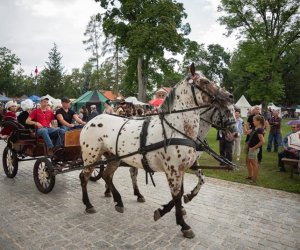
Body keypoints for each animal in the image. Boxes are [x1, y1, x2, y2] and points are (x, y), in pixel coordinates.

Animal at [79, 63, 237, 238]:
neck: (177, 128)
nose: (230, 96)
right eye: (204, 81)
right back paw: (88, 204)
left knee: (107, 175)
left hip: (114, 158)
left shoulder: (182, 168)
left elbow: (185, 190)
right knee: (84, 177)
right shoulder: (173, 170)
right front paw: (183, 224)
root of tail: (90, 121)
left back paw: (118, 201)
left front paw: (168, 210)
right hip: (91, 157)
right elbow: (177, 195)